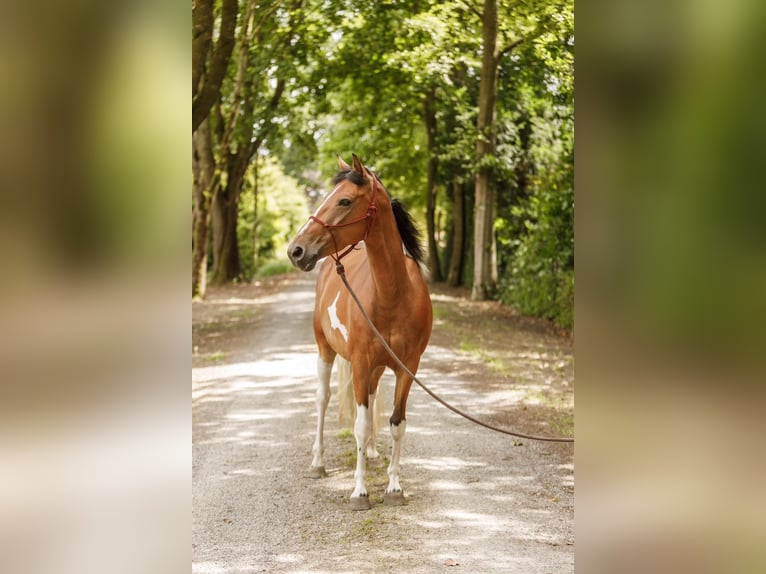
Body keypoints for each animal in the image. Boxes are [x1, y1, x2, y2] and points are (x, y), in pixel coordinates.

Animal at [286, 155, 432, 510]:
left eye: (345, 201)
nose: (295, 250)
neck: (394, 295)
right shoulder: (362, 362)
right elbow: (361, 425)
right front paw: (360, 491)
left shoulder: (408, 368)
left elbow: (397, 423)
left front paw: (394, 487)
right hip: (325, 350)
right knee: (323, 398)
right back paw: (318, 463)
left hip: (377, 367)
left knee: (373, 396)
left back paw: (375, 453)